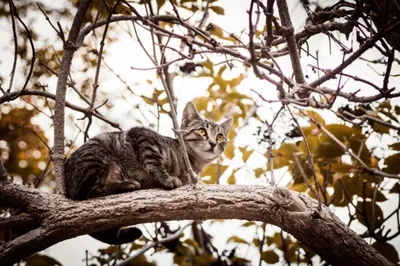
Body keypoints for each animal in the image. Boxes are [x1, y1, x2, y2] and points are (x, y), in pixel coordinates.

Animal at [64, 102, 233, 245]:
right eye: (202, 131)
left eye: (220, 137)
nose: (213, 143)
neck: (192, 162)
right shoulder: (143, 135)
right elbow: (154, 161)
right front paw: (167, 178)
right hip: (95, 157)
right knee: (89, 191)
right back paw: (126, 184)